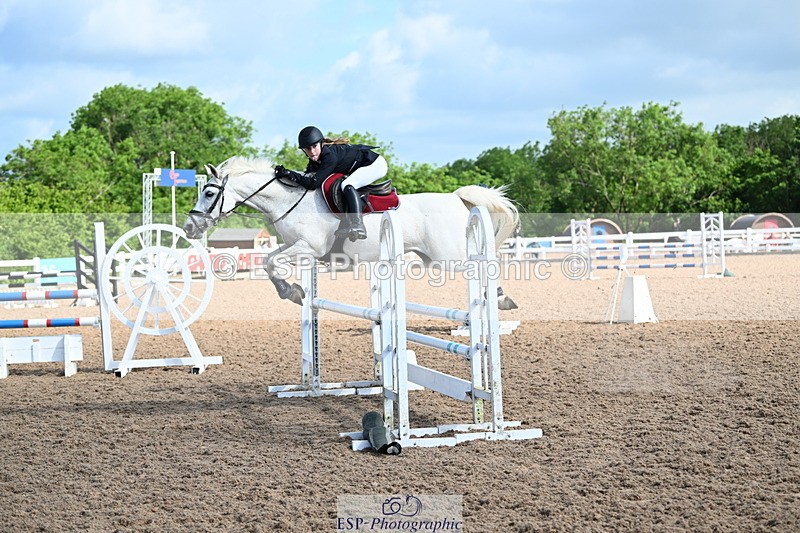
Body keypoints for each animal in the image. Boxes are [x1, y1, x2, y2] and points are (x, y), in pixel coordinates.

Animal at [183, 156, 520, 310]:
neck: (288, 200)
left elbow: (270, 262)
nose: (189, 227)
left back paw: (501, 298)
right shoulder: (295, 246)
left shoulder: (310, 248)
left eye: (209, 193)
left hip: (449, 256)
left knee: (484, 266)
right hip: (432, 258)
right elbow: (268, 261)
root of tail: (455, 197)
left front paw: (290, 291)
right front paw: (293, 291)